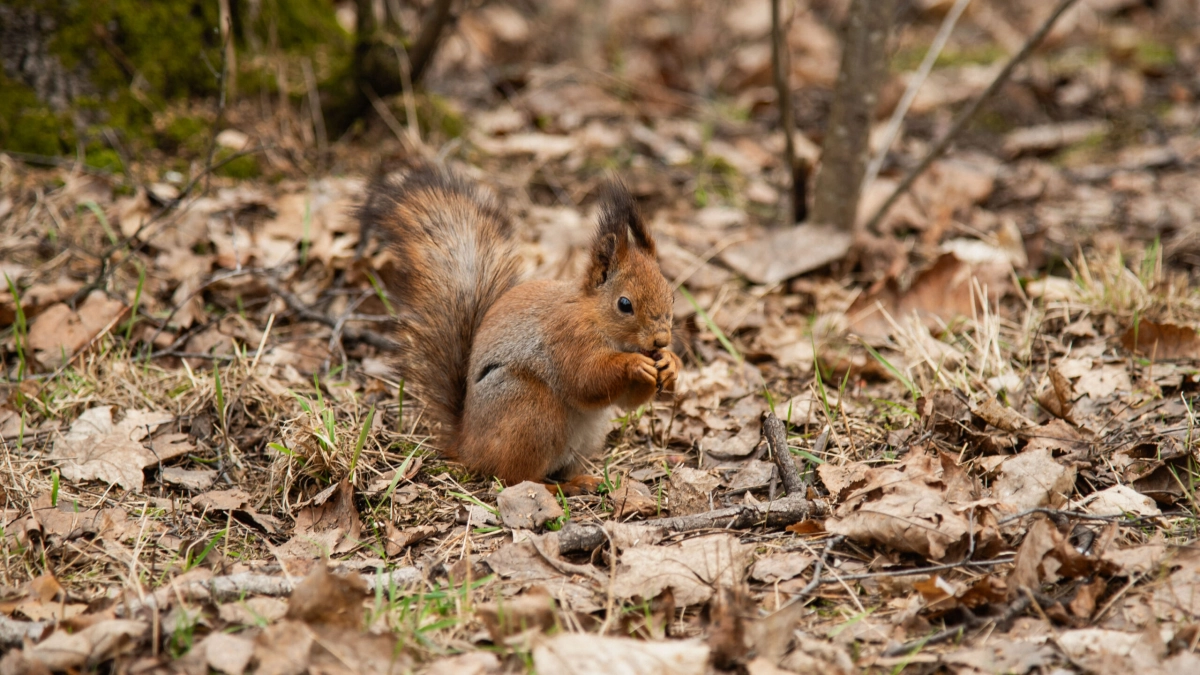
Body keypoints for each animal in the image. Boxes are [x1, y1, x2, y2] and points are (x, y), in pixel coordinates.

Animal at [355, 164, 681, 485]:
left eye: (672, 296)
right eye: (624, 304)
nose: (661, 340)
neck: (593, 316)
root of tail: (468, 445)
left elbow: (627, 401)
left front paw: (670, 363)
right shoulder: (566, 336)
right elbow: (585, 379)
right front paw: (634, 364)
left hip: (587, 435)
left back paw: (581, 481)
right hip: (530, 410)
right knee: (517, 476)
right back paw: (551, 489)